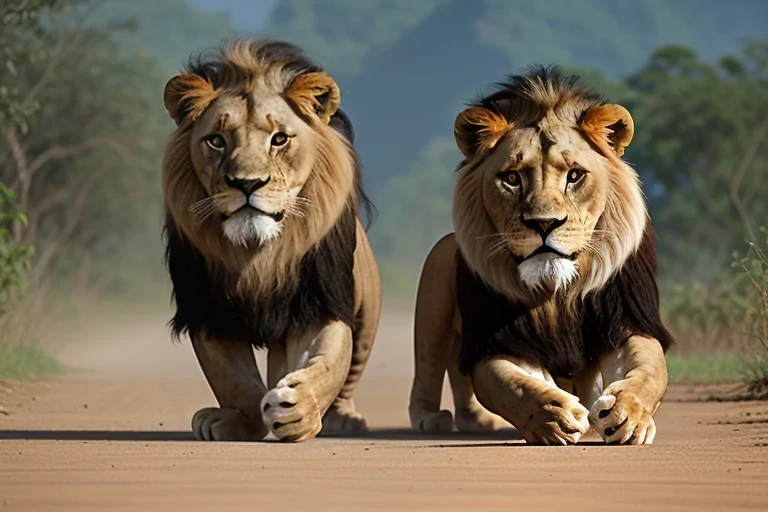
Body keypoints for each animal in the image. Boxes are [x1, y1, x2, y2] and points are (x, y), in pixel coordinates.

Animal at [161, 38, 381, 443]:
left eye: (279, 139)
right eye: (216, 141)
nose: (247, 184)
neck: (259, 253)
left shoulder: (319, 302)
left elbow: (327, 366)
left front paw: (297, 409)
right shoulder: (208, 309)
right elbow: (233, 380)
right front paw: (236, 419)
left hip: (367, 316)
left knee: (350, 372)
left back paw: (342, 420)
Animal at [409, 67, 674, 445]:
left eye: (575, 176)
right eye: (511, 178)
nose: (544, 223)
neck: (556, 291)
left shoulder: (626, 318)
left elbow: (650, 369)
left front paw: (628, 416)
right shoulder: (498, 338)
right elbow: (510, 384)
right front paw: (553, 416)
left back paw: (475, 420)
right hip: (437, 280)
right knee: (430, 365)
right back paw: (430, 418)